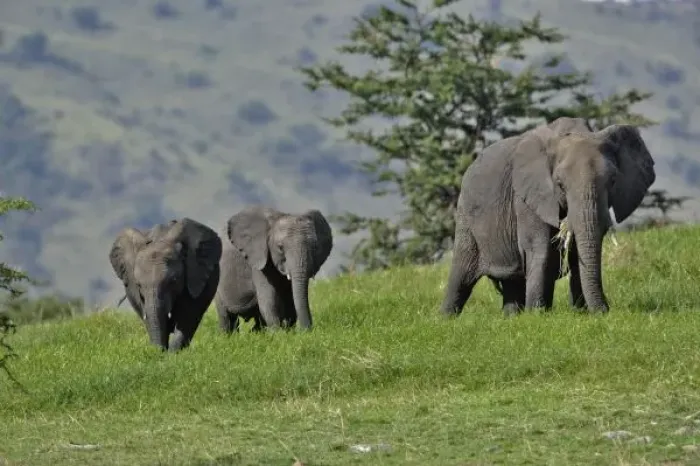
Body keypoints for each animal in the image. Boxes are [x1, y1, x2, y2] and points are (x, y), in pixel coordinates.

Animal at [109, 217, 222, 351]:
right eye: (138, 285)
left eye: (173, 280)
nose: (159, 351)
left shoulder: (194, 278)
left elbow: (186, 319)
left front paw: (173, 353)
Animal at [440, 117, 656, 317]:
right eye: (560, 184)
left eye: (612, 181)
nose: (605, 311)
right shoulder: (527, 197)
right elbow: (540, 248)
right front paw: (536, 316)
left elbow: (575, 252)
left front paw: (580, 313)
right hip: (466, 216)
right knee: (462, 274)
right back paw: (445, 320)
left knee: (513, 281)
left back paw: (511, 318)